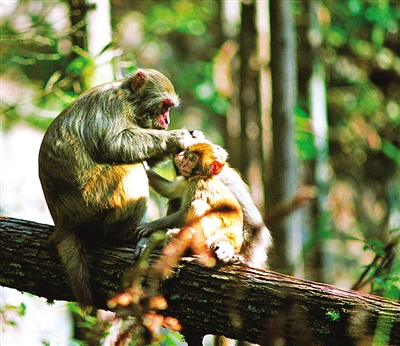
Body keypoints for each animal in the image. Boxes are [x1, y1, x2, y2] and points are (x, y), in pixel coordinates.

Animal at [39, 69, 196, 310]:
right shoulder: (111, 104)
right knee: (132, 169)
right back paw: (126, 235)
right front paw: (177, 138)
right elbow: (115, 143)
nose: (167, 121)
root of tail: (63, 222)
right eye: (164, 106)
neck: (128, 101)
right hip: (92, 201)